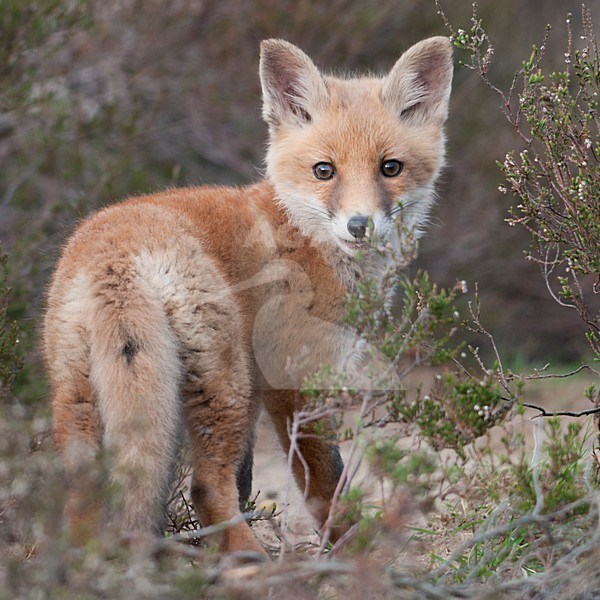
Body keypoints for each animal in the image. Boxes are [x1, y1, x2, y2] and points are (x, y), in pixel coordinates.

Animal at [42, 36, 452, 552]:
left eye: (390, 168)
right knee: (204, 486)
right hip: (224, 382)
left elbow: (246, 478)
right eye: (324, 170)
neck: (300, 233)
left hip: (79, 393)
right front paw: (353, 544)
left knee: (83, 494)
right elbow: (326, 479)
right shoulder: (293, 377)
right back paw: (250, 560)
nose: (359, 226)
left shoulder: (263, 387)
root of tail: (115, 257)